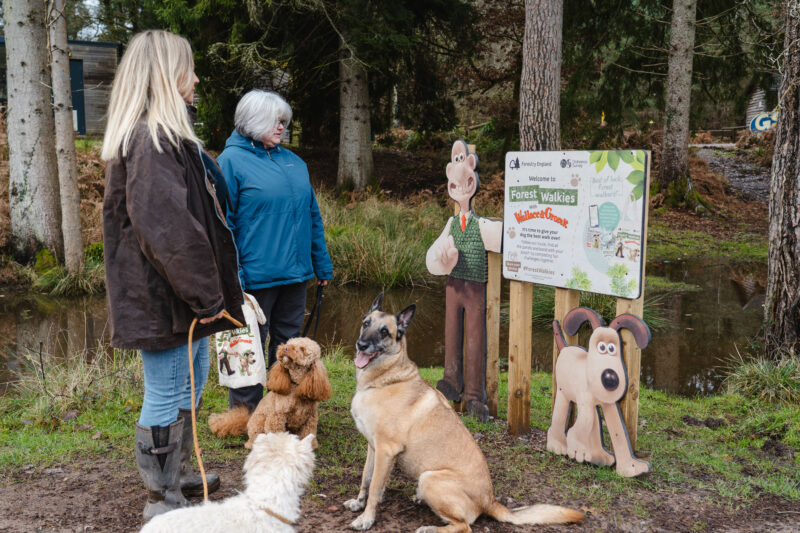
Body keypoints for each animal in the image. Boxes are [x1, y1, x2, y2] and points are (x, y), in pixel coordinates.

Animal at [346, 294, 588, 528]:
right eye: (366, 323)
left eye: (384, 332)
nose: (361, 345)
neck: (385, 379)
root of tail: (490, 501)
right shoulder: (374, 448)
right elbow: (366, 479)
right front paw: (359, 503)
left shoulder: (386, 450)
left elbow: (375, 488)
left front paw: (367, 519)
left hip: (429, 478)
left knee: (464, 525)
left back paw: (430, 528)